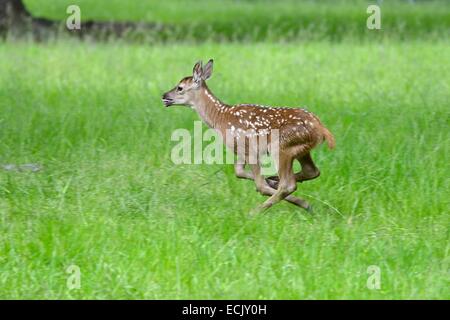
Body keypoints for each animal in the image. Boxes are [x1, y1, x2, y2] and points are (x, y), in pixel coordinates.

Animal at [162, 60, 334, 215]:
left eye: (180, 88)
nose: (164, 95)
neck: (220, 118)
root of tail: (321, 128)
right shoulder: (239, 150)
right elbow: (239, 172)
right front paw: (271, 181)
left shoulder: (249, 149)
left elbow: (259, 184)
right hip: (301, 150)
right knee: (312, 171)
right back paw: (278, 183)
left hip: (280, 146)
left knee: (287, 184)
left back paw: (259, 210)